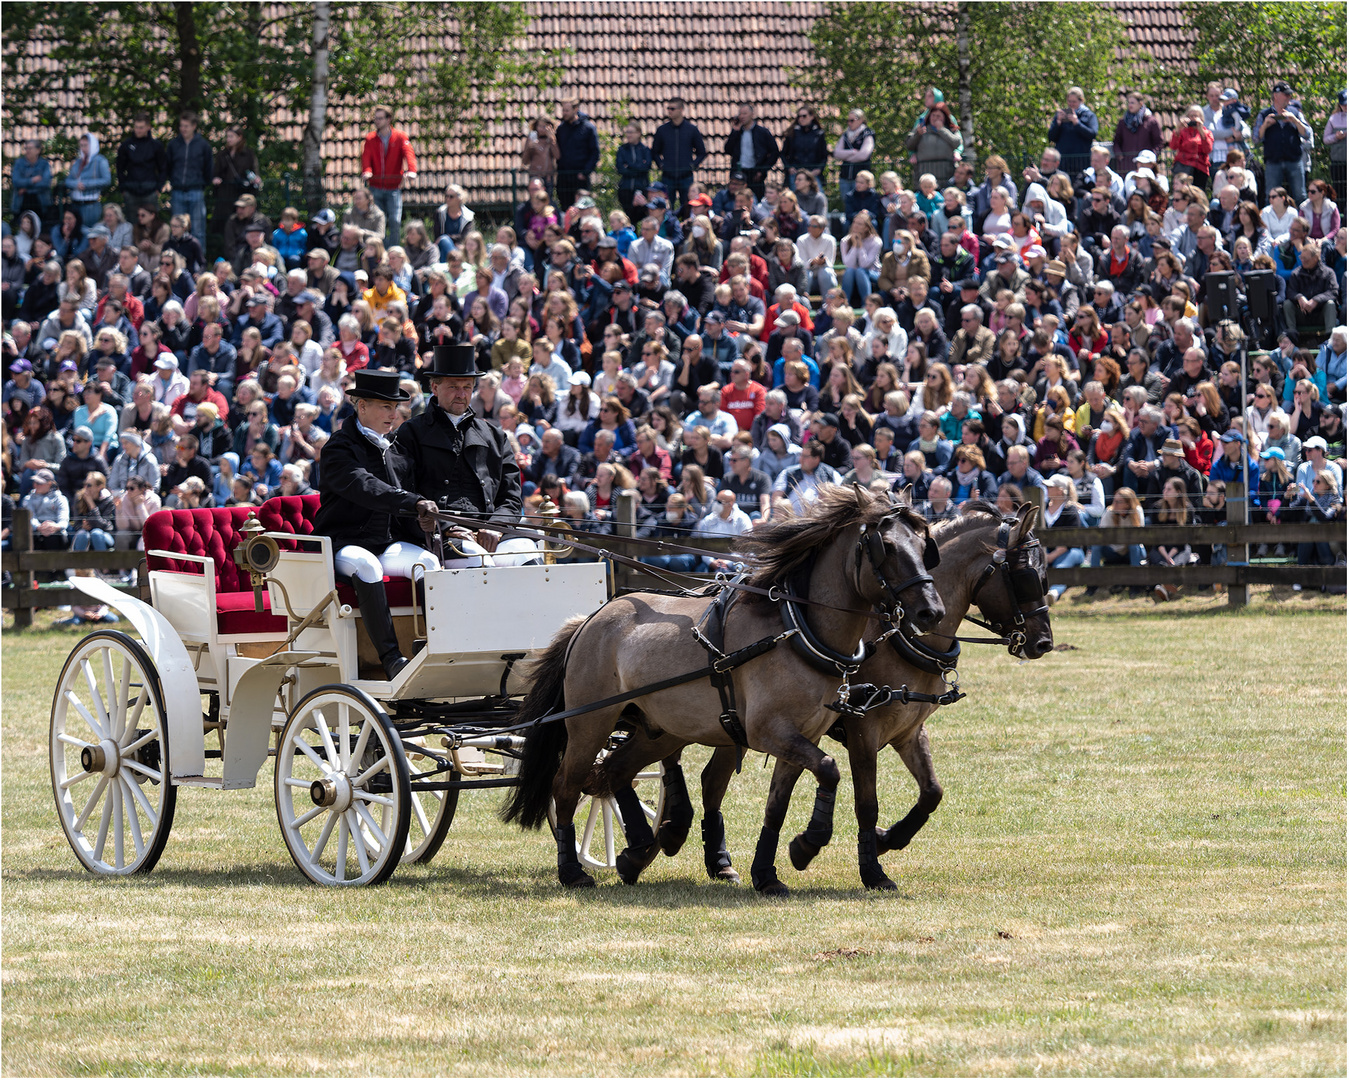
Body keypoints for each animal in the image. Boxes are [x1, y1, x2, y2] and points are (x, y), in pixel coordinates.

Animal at [501, 485, 944, 889]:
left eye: (925, 545)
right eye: (886, 546)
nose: (931, 611)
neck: (798, 629)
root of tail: (590, 619)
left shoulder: (803, 734)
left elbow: (779, 804)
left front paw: (768, 873)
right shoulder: (771, 731)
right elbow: (831, 771)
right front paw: (808, 844)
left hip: (657, 727)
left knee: (613, 773)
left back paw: (637, 852)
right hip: (590, 722)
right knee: (568, 786)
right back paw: (573, 870)